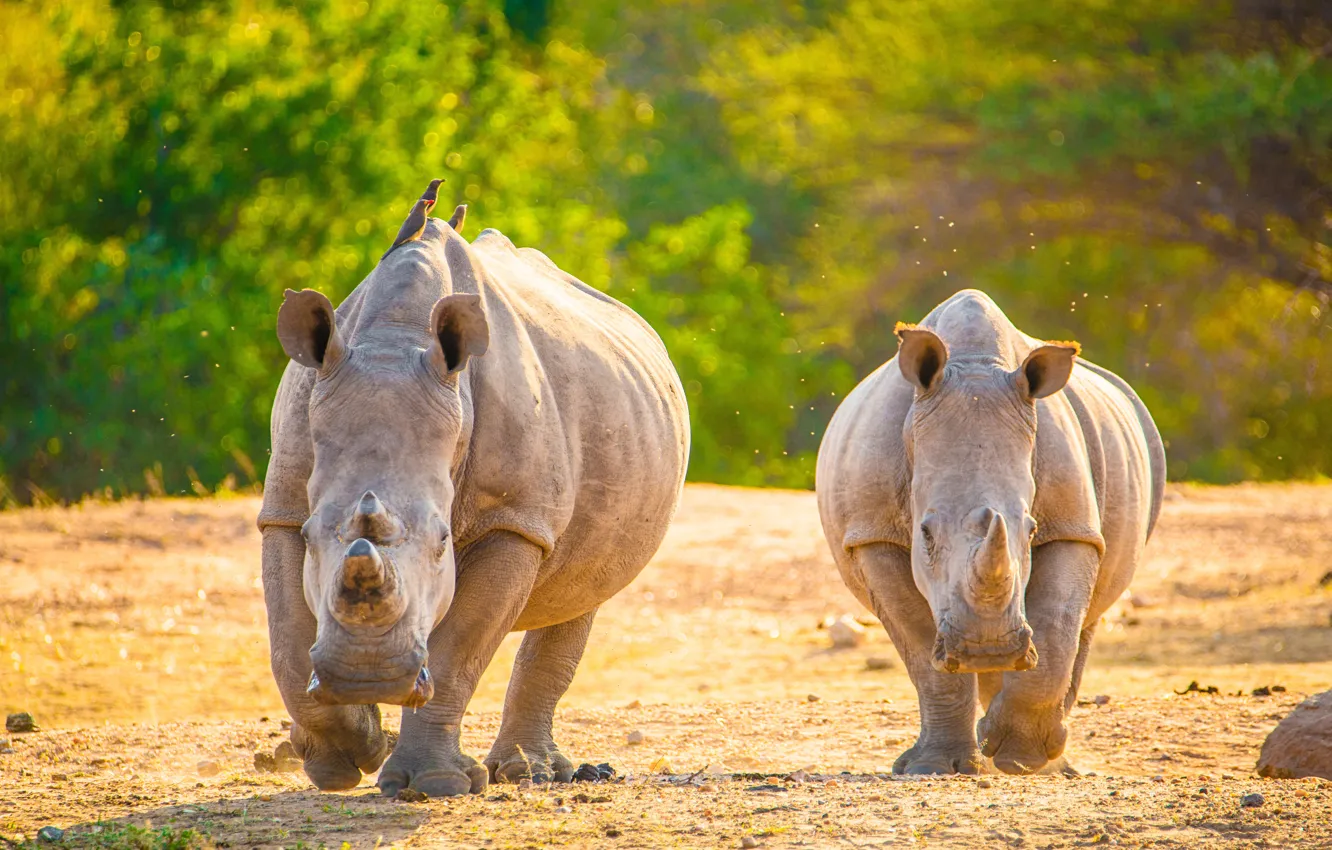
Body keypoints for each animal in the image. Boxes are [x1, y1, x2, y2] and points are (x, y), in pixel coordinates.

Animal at [257, 180, 689, 795]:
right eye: (315, 537)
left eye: (444, 542)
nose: (370, 676)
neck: (395, 338)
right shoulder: (285, 505)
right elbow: (288, 643)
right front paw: (345, 756)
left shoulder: (513, 520)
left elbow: (460, 648)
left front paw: (432, 783)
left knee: (584, 589)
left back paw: (531, 773)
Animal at [816, 289, 1163, 775]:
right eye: (925, 534)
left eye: (1031, 530)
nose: (988, 648)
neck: (974, 364)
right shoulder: (872, 533)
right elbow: (921, 649)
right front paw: (935, 767)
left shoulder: (1071, 526)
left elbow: (1058, 623)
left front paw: (1020, 757)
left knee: (1086, 620)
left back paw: (1050, 763)